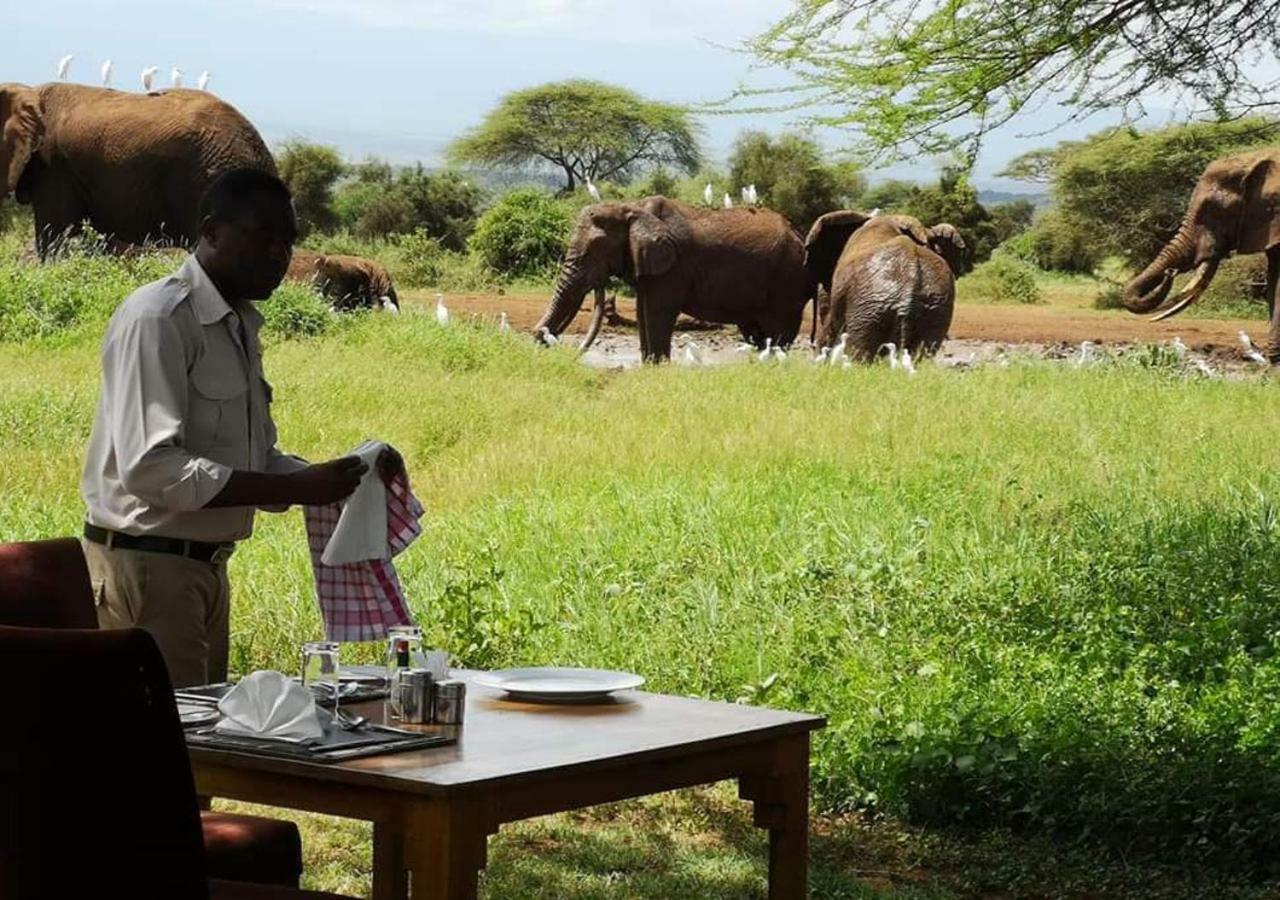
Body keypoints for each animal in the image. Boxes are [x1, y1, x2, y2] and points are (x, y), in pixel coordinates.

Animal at [529, 197, 808, 363]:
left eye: (595, 251)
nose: (541, 337)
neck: (632, 208)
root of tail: (798, 233)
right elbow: (643, 312)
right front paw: (649, 367)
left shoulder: (673, 267)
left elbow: (657, 312)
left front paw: (658, 367)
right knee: (756, 334)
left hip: (787, 282)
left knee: (777, 333)